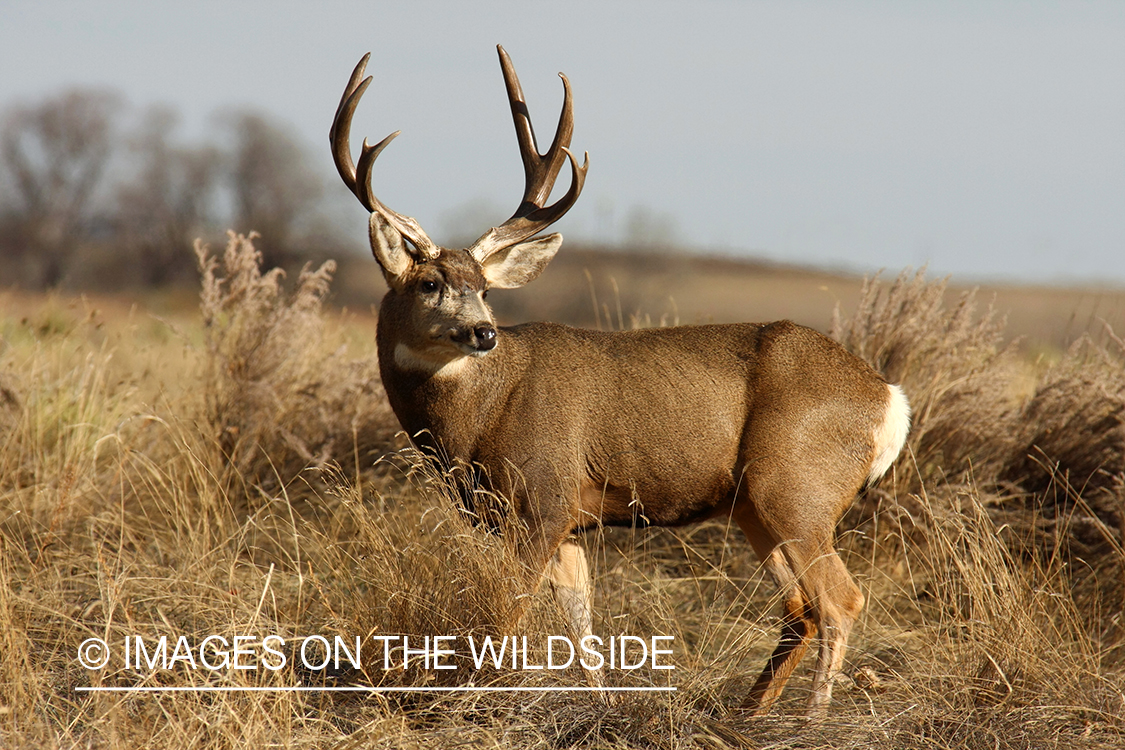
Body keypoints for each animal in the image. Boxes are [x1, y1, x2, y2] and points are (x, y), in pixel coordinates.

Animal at [328, 45, 909, 715]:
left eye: (484, 288)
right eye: (429, 283)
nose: (483, 332)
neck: (478, 418)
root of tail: (888, 398)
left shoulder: (543, 497)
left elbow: (505, 616)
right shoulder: (555, 519)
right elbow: (580, 627)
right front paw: (602, 708)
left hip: (794, 485)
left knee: (840, 600)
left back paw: (807, 723)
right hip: (753, 506)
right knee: (799, 606)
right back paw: (749, 715)